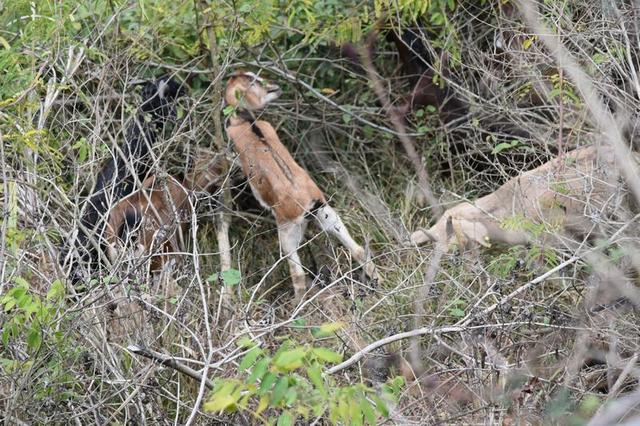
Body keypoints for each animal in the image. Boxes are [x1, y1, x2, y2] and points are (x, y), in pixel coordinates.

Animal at [224, 71, 380, 302]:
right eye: (254, 80)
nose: (275, 86)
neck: (247, 122)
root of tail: (310, 202)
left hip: (287, 233)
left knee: (297, 275)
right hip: (328, 215)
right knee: (358, 249)